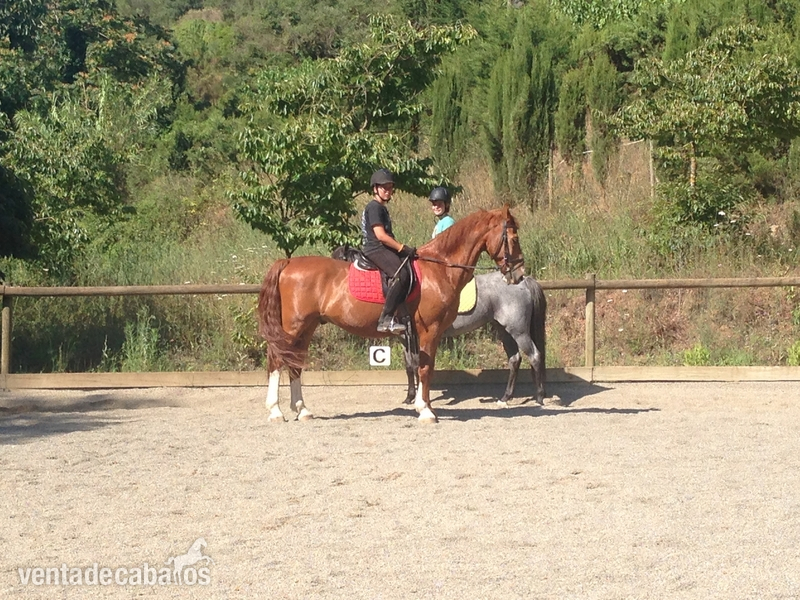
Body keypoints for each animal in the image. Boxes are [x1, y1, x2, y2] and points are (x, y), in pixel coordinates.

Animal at [257, 206, 525, 423]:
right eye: (513, 238)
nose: (519, 275)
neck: (438, 268)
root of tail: (288, 263)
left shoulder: (422, 333)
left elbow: (421, 366)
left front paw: (424, 406)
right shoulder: (430, 330)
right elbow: (425, 368)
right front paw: (425, 411)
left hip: (307, 326)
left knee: (294, 363)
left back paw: (302, 410)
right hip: (293, 326)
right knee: (276, 360)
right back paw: (276, 411)